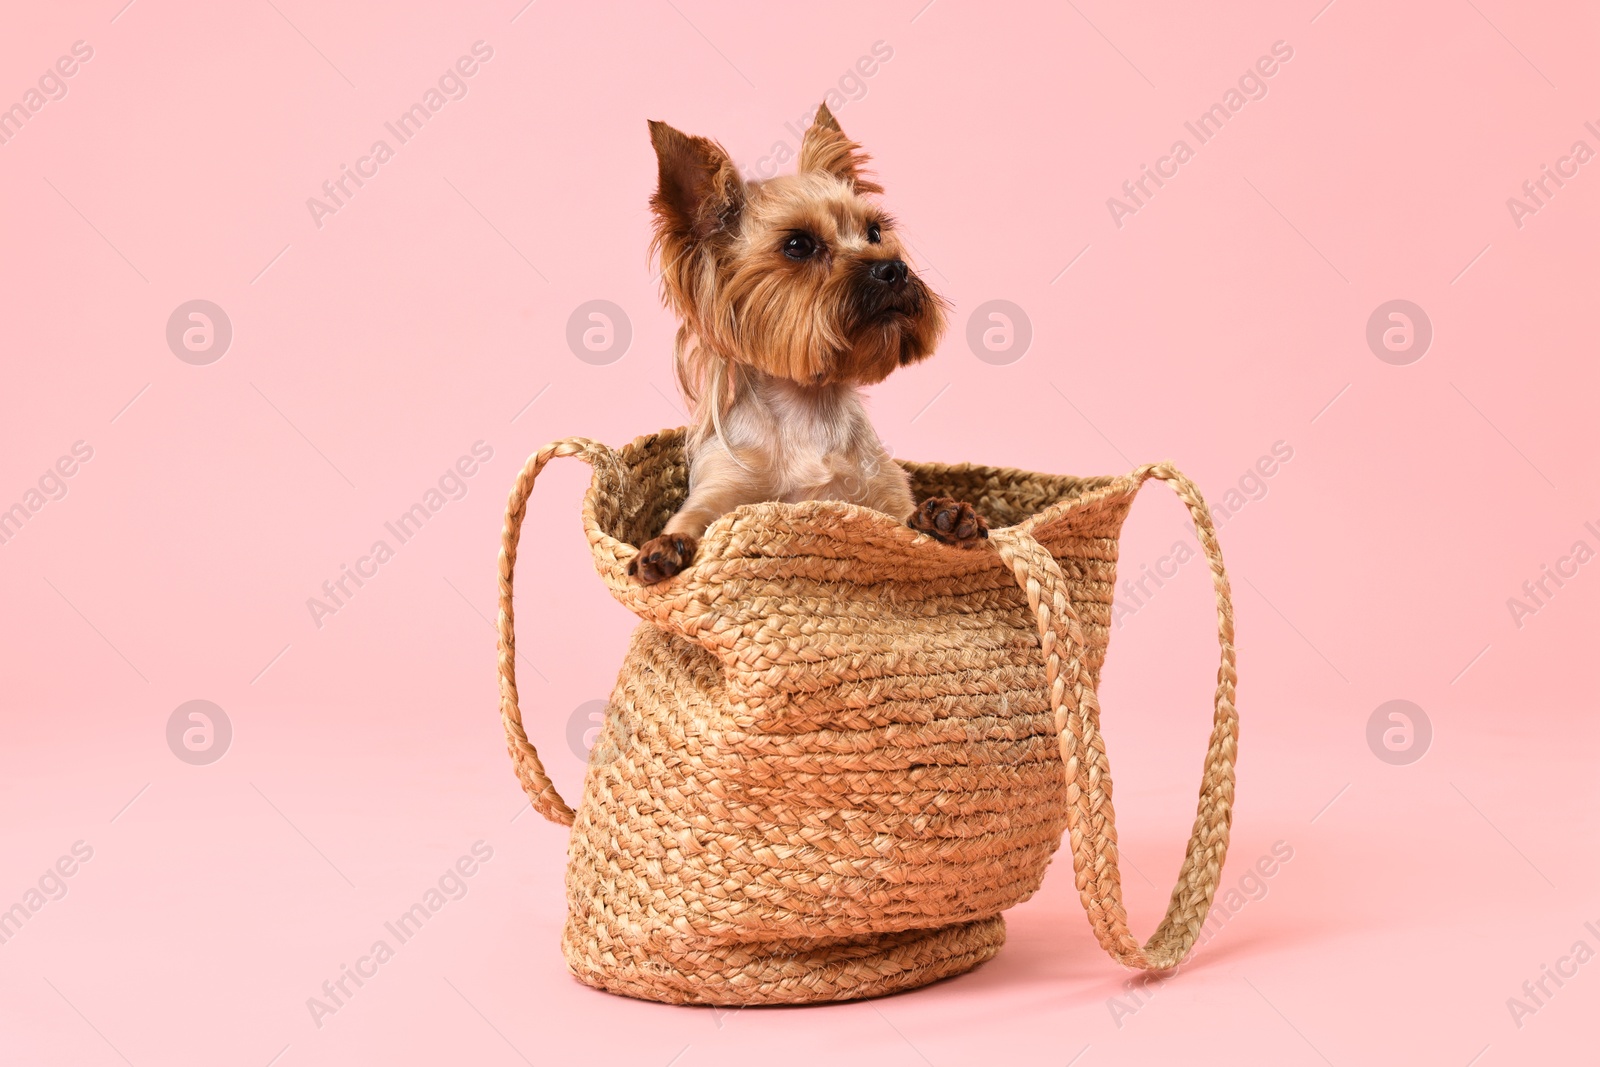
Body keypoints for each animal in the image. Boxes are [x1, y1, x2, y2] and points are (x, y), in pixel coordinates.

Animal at [627, 102, 979, 585]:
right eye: (798, 245)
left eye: (874, 232)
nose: (894, 269)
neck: (810, 407)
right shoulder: (720, 489)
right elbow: (692, 519)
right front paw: (663, 546)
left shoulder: (881, 498)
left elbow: (902, 520)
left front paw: (943, 516)